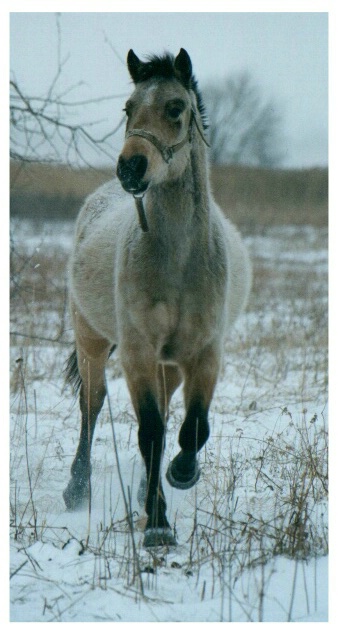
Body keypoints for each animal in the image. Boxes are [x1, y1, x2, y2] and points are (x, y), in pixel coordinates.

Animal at [62, 48, 251, 548]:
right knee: (92, 406)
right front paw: (158, 525)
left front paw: (183, 473)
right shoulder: (139, 353)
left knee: (169, 420)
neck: (179, 260)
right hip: (92, 342)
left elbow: (194, 426)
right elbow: (149, 432)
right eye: (128, 108)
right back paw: (77, 489)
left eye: (175, 108)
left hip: (170, 366)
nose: (131, 168)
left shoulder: (203, 353)